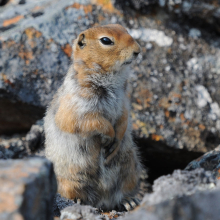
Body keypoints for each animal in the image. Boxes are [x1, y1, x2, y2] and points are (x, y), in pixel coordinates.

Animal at [43, 23, 142, 211]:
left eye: (124, 29)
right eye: (106, 40)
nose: (138, 50)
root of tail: (101, 200)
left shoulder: (124, 102)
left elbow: (124, 119)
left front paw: (116, 140)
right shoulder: (78, 106)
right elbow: (90, 121)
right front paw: (108, 135)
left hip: (129, 169)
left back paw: (129, 200)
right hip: (71, 177)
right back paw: (77, 201)